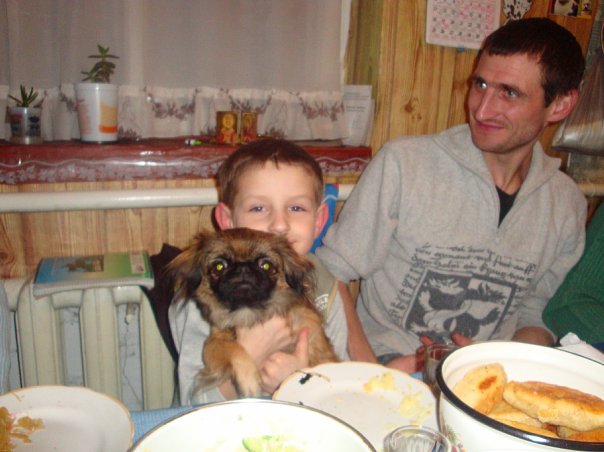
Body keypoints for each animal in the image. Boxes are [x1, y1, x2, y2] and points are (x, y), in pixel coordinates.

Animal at [170, 227, 339, 398]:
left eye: (266, 265)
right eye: (219, 266)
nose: (243, 268)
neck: (250, 312)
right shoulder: (214, 342)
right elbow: (233, 349)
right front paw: (249, 381)